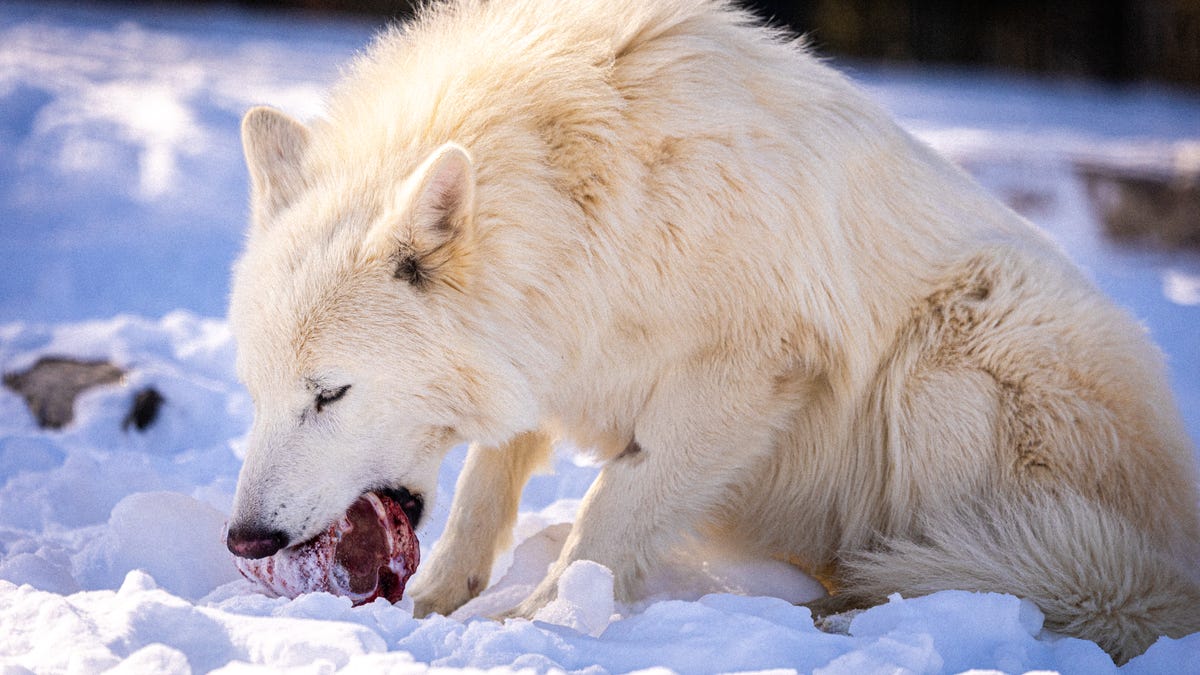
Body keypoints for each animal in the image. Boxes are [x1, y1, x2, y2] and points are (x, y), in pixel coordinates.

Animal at [224, 0, 1200, 661]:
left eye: (331, 393)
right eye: (259, 393)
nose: (245, 540)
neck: (593, 203)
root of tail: (1173, 557)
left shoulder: (747, 373)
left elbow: (610, 509)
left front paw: (544, 621)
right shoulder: (549, 356)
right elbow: (482, 492)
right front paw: (439, 602)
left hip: (952, 351)